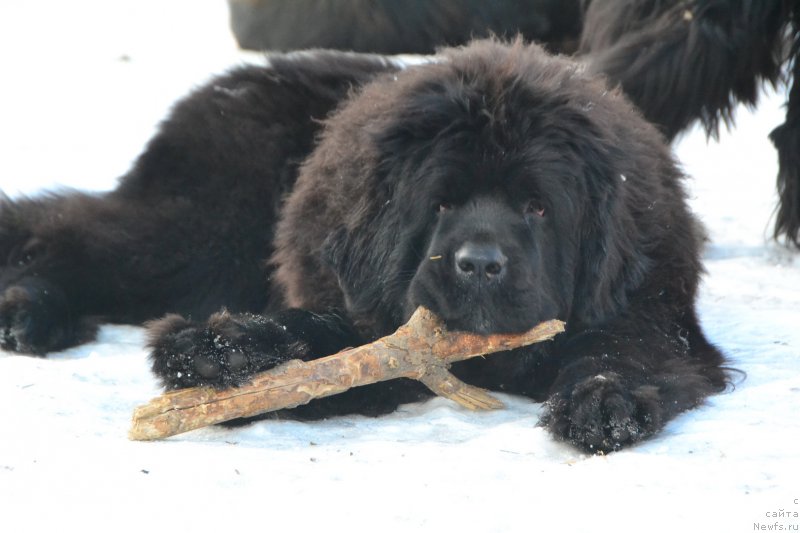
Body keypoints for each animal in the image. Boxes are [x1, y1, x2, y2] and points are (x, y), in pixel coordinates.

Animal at [0, 40, 728, 454]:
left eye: (538, 207)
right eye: (441, 203)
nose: (479, 265)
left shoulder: (651, 307)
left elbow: (627, 347)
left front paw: (603, 401)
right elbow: (327, 346)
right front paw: (220, 349)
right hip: (208, 231)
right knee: (76, 235)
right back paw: (29, 310)